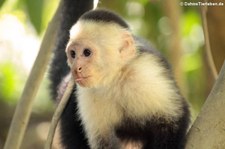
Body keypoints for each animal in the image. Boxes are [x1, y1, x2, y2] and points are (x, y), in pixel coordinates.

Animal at [48, 0, 190, 149]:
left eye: (87, 52)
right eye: (73, 54)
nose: (76, 68)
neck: (115, 78)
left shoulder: (145, 71)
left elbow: (173, 120)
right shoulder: (87, 93)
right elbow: (104, 142)